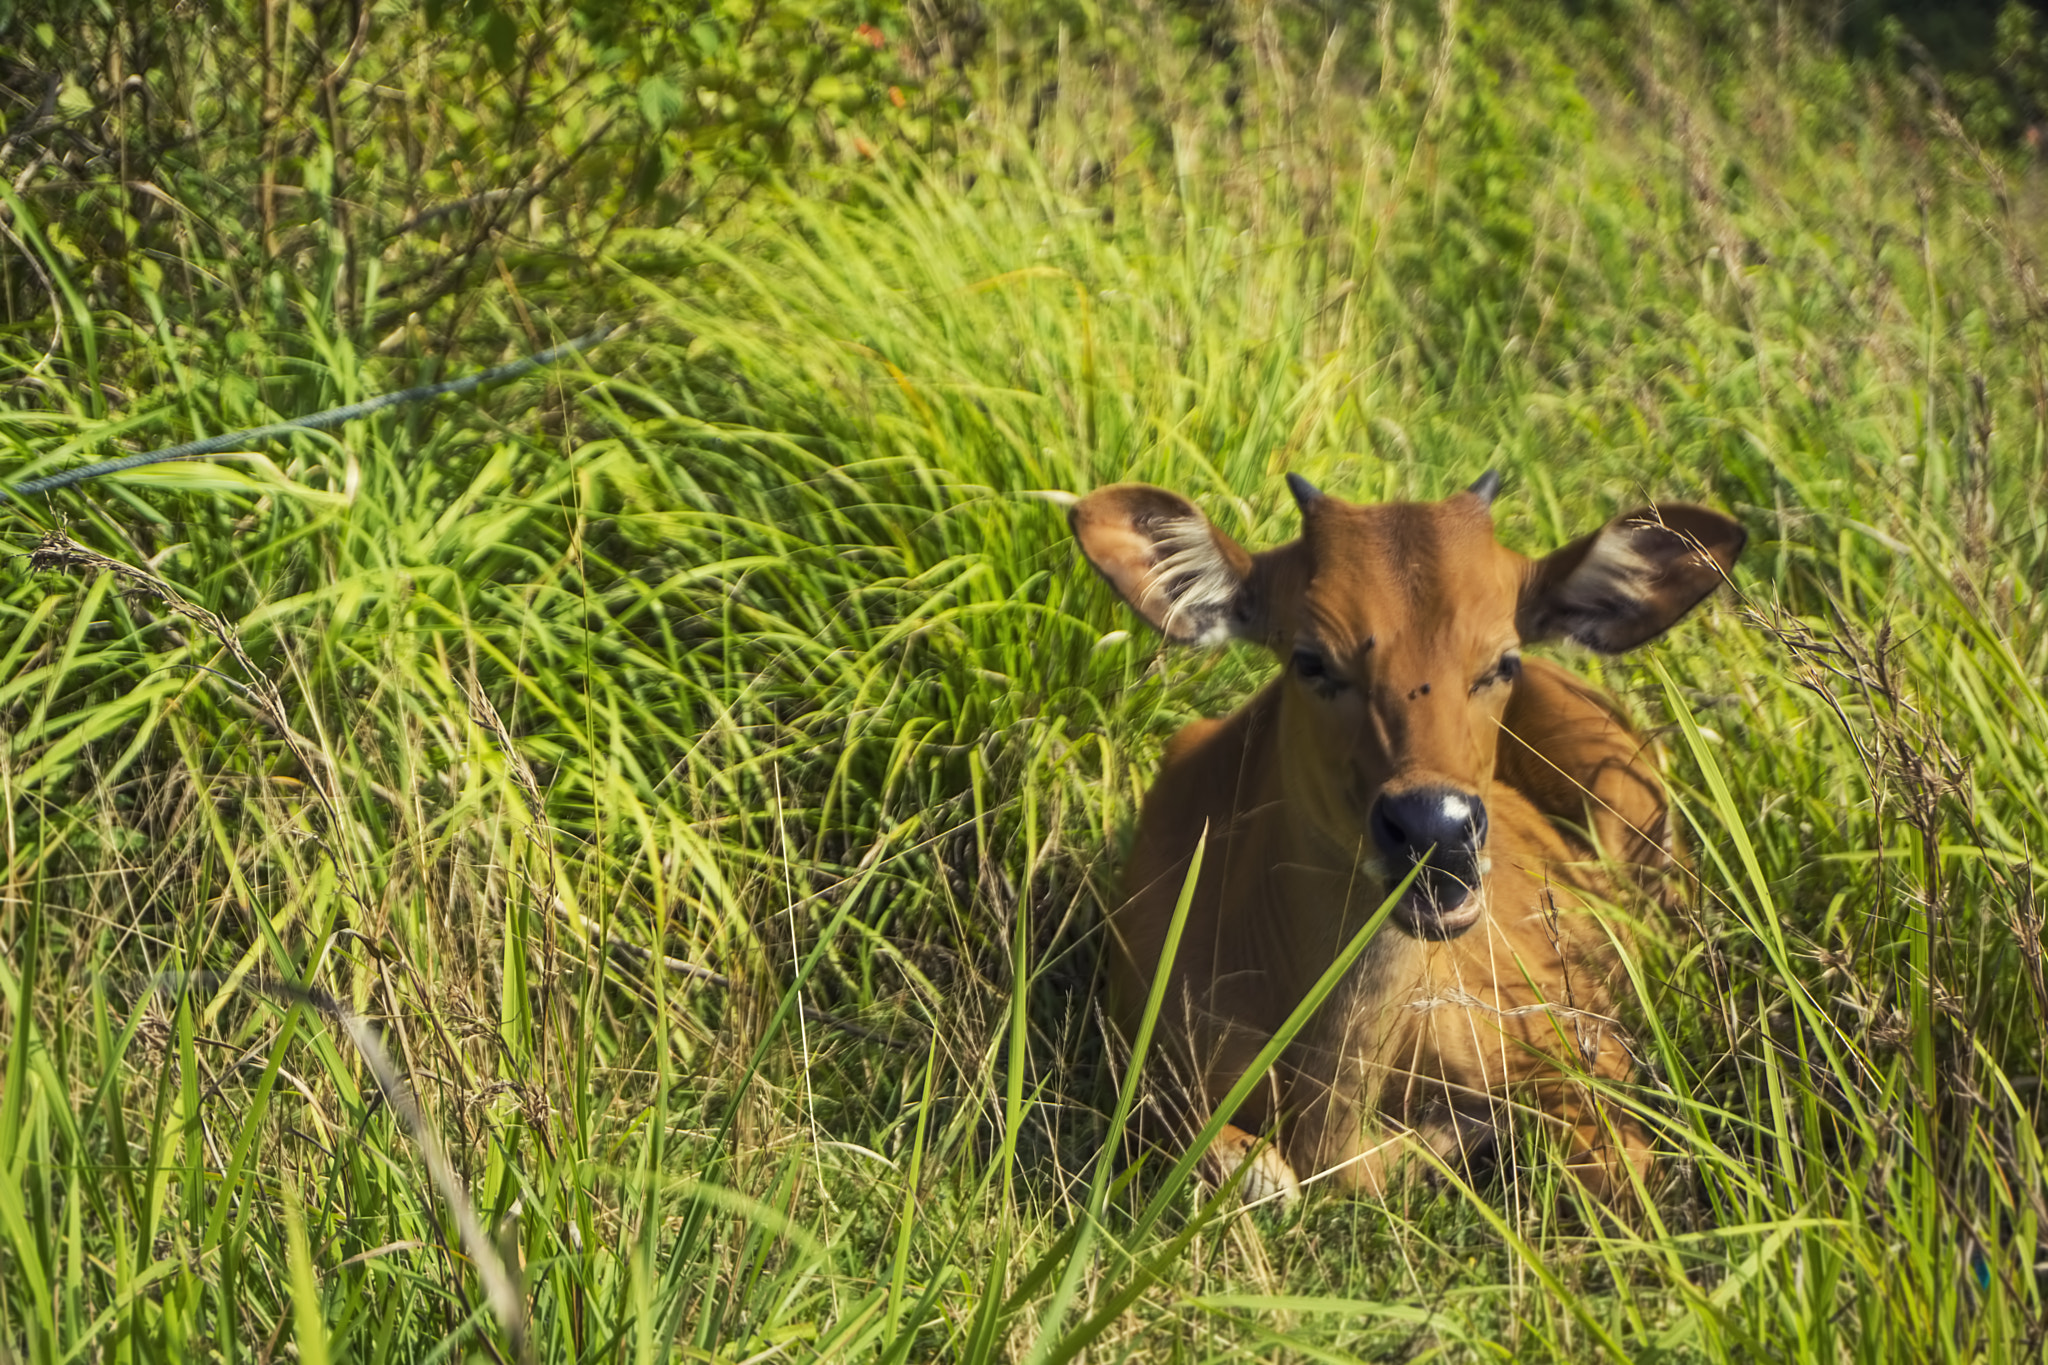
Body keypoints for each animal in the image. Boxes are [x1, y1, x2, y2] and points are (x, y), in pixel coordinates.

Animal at [1073, 472, 1744, 1203]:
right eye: (1311, 659)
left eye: (1502, 660)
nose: (1436, 829)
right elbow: (1254, 1174)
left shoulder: (1581, 1044)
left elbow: (1626, 1173)